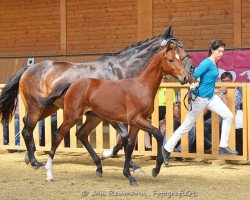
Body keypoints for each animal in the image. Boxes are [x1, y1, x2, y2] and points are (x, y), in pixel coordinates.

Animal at [0, 26, 195, 170]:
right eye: (176, 48)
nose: (191, 69)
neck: (120, 70)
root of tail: (29, 69)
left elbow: (126, 138)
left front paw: (124, 160)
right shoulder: (114, 115)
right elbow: (124, 136)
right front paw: (118, 158)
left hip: (49, 107)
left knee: (26, 125)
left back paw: (29, 156)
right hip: (37, 106)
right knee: (27, 129)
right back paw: (35, 162)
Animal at [40, 39, 188, 187]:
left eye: (180, 58)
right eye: (171, 59)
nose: (185, 78)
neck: (141, 87)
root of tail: (72, 85)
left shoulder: (136, 123)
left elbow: (129, 146)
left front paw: (129, 175)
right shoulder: (136, 119)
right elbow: (157, 134)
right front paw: (155, 170)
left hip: (94, 118)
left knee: (81, 134)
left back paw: (99, 167)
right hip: (72, 116)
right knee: (58, 136)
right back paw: (49, 173)